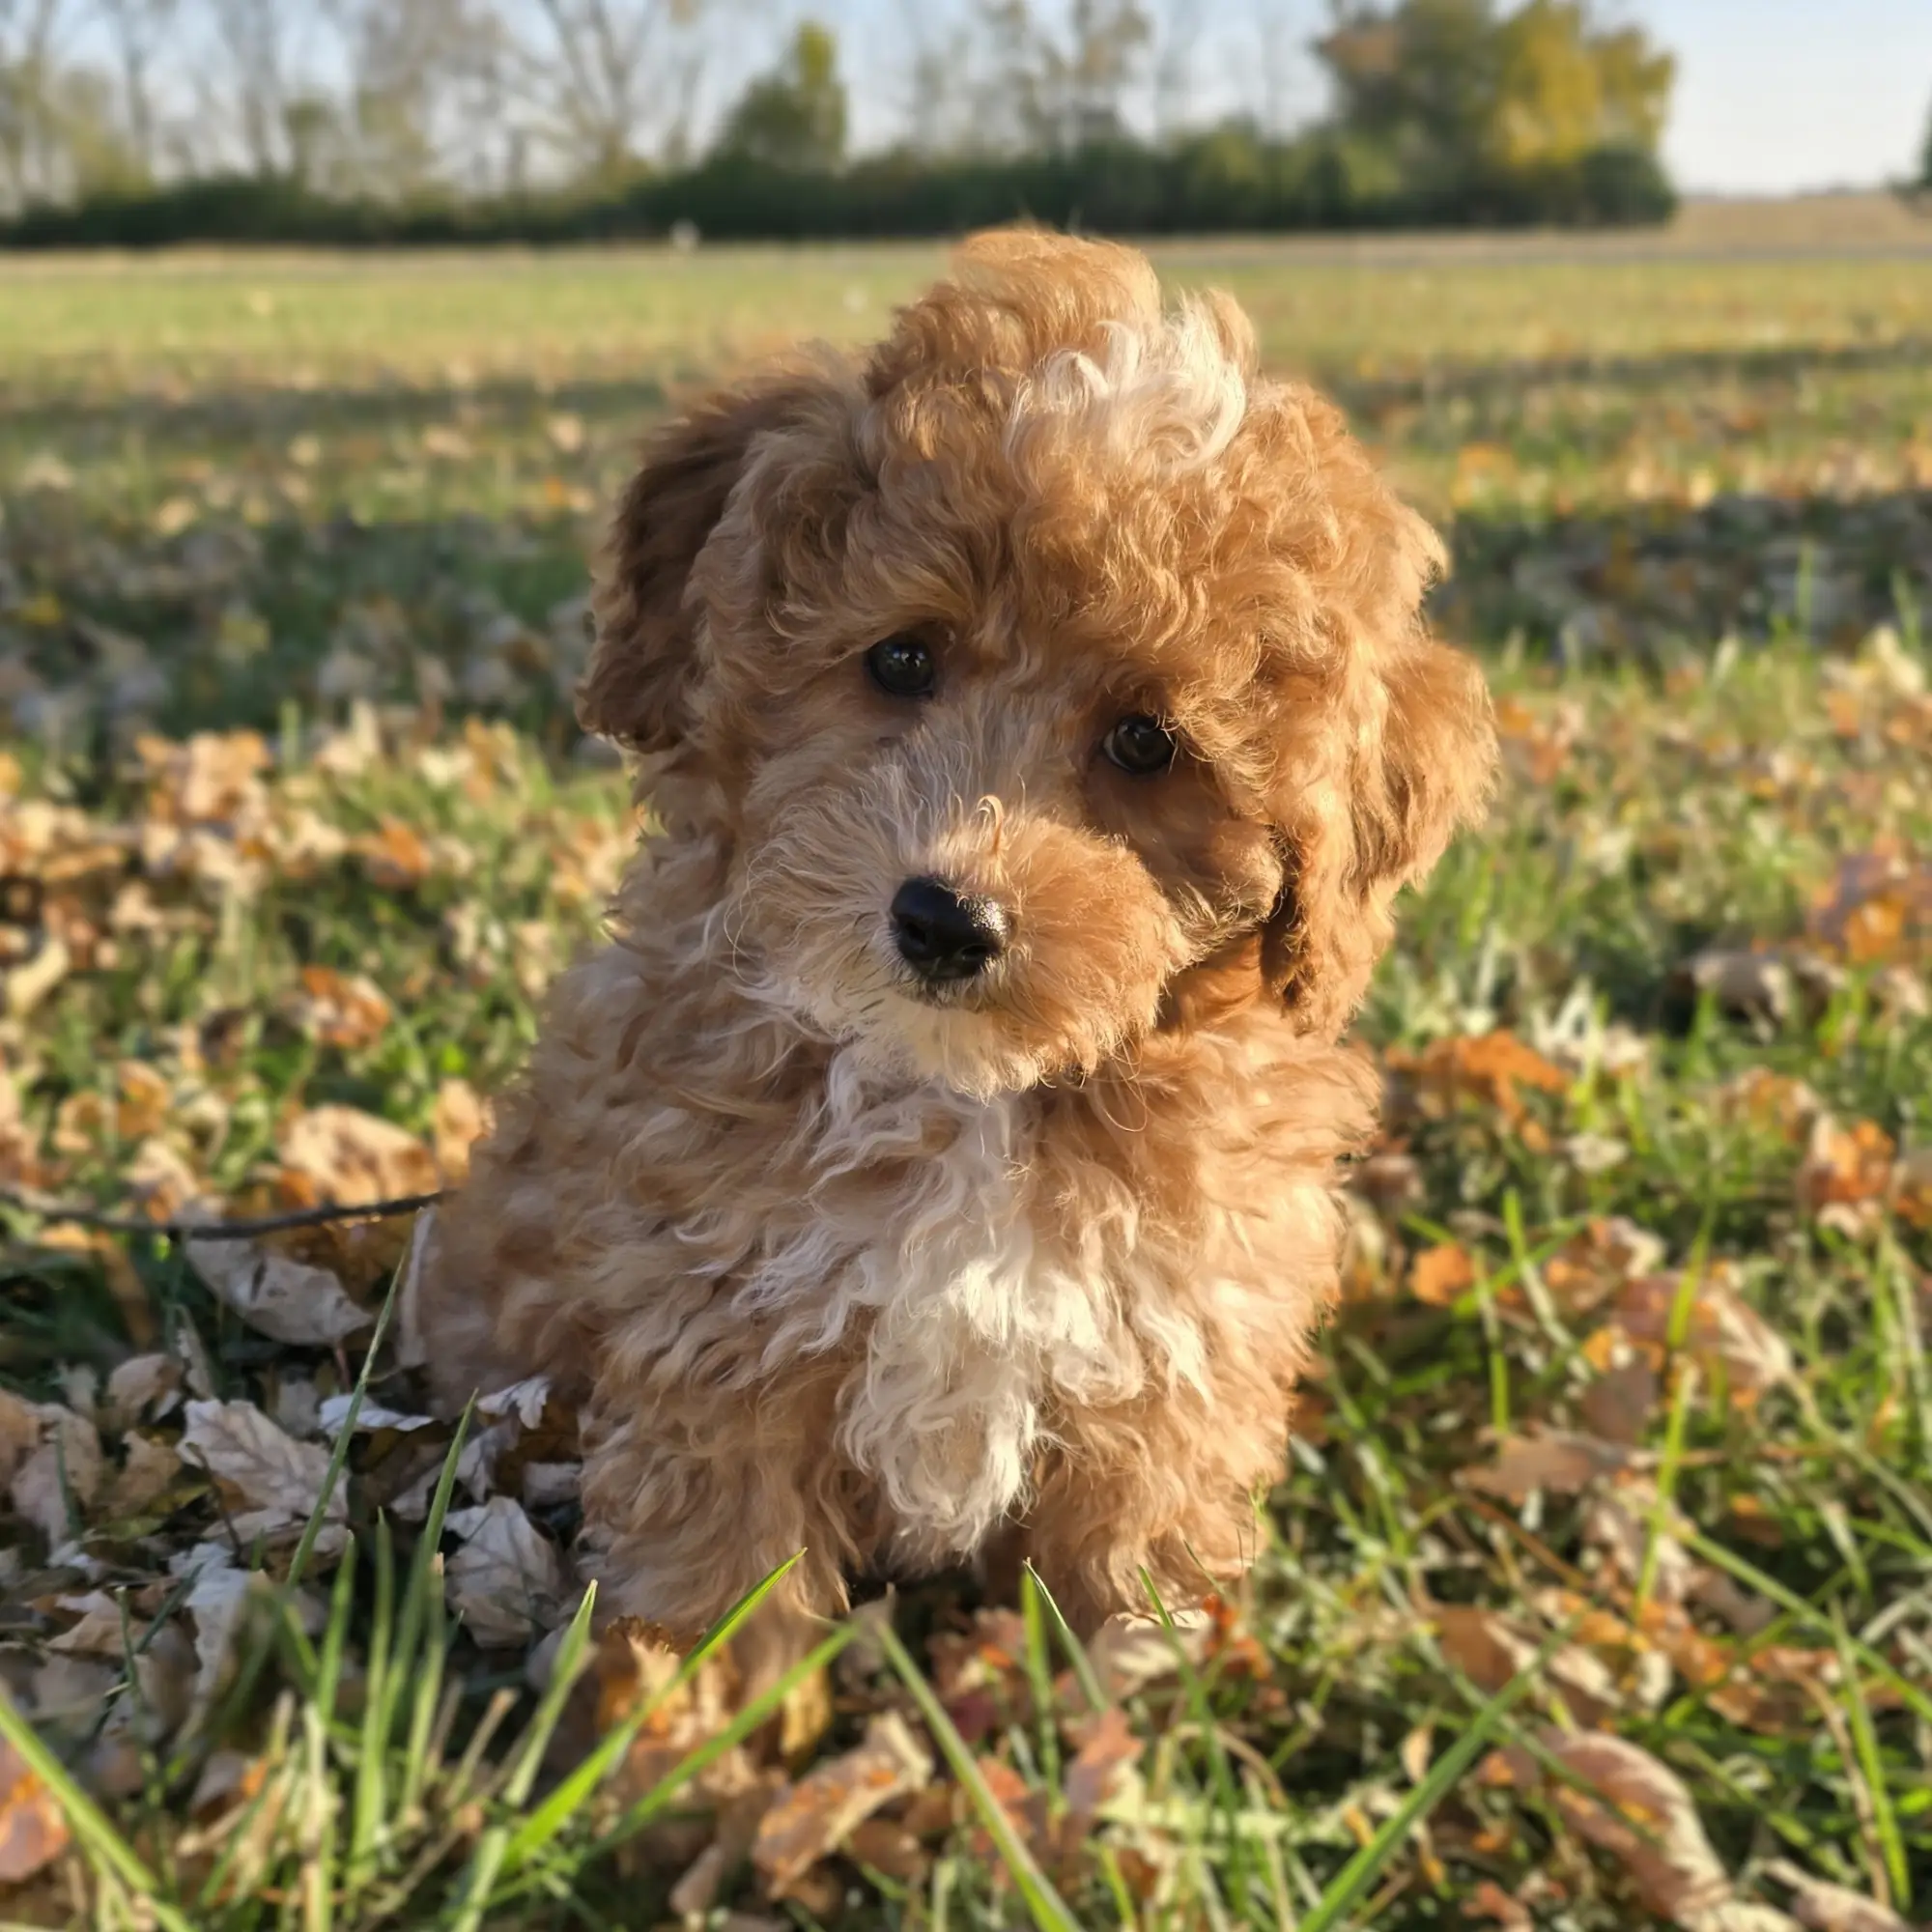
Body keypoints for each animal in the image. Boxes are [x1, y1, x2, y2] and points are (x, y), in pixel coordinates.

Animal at [422, 229, 1496, 1655]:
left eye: (1146, 742)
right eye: (900, 658)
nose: (943, 918)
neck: (968, 1097)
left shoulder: (1169, 1355)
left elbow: (1123, 1565)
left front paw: (1124, 1694)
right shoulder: (713, 1324)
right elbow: (726, 1560)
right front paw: (681, 1701)